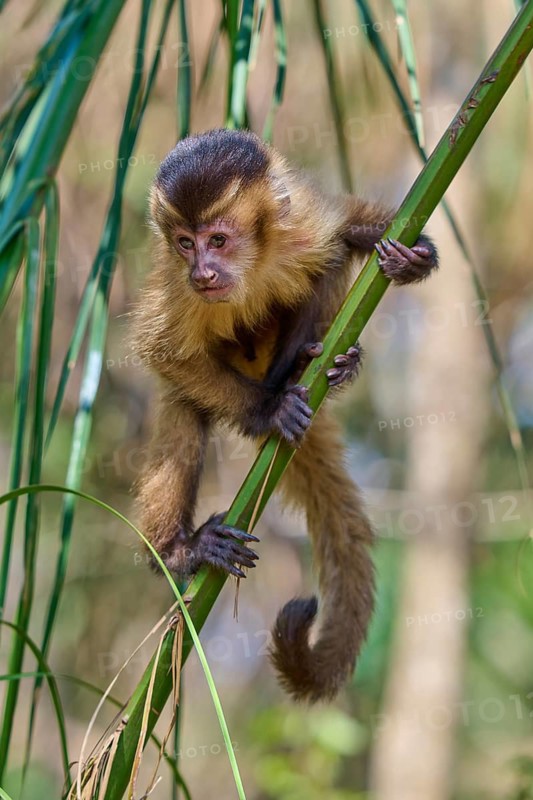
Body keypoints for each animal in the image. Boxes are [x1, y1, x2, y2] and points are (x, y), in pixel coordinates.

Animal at [133, 128, 438, 702]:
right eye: (185, 243)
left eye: (218, 240)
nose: (202, 270)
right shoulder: (178, 289)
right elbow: (163, 354)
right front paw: (267, 411)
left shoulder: (299, 227)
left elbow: (343, 231)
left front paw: (414, 256)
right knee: (184, 411)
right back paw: (181, 550)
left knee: (329, 264)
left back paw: (309, 368)